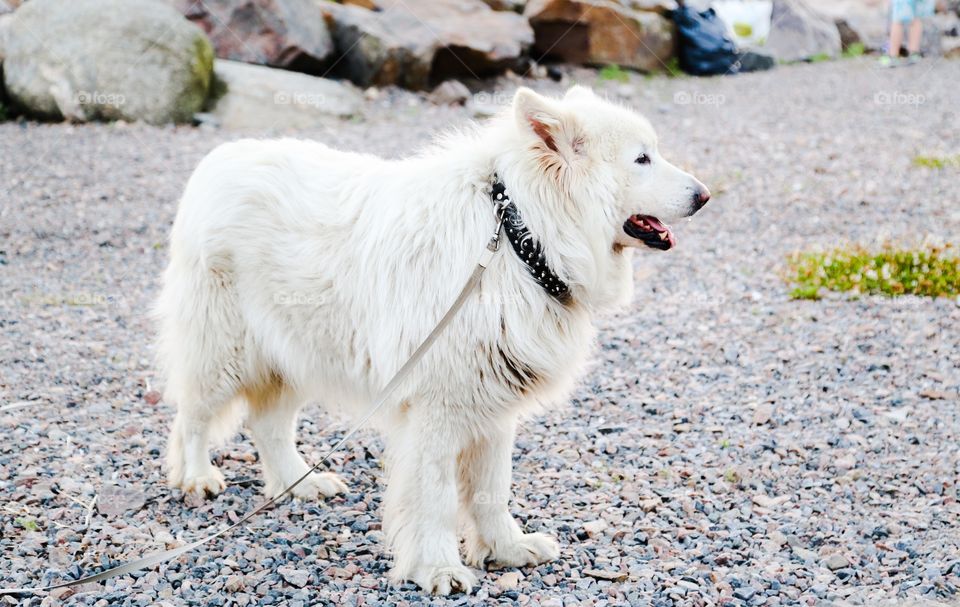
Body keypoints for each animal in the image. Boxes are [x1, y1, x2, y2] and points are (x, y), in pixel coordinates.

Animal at [158, 85, 708, 592]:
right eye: (642, 158)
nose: (704, 195)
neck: (519, 237)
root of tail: (217, 160)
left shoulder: (494, 407)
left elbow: (492, 489)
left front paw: (506, 549)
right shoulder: (435, 411)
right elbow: (437, 497)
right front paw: (438, 569)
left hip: (298, 351)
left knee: (268, 425)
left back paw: (302, 482)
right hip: (223, 352)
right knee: (193, 416)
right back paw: (197, 477)